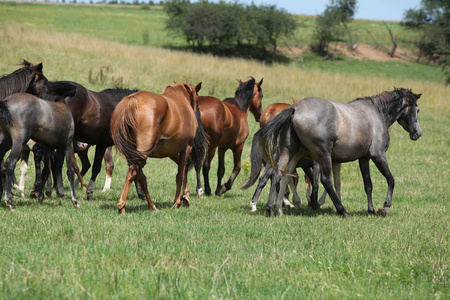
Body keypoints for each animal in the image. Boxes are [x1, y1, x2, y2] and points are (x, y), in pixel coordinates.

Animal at [111, 81, 207, 214]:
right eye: (197, 101)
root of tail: (131, 101)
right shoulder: (187, 146)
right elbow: (181, 174)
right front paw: (178, 201)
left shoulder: (171, 151)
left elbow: (184, 168)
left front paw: (184, 196)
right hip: (141, 153)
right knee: (132, 173)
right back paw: (122, 206)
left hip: (133, 153)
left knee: (141, 178)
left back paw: (152, 206)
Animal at [244, 88, 420, 217]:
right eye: (417, 110)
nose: (418, 133)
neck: (377, 113)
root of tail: (294, 108)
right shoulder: (378, 155)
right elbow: (391, 179)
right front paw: (384, 207)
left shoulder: (363, 158)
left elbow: (368, 185)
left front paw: (370, 210)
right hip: (323, 155)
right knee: (325, 180)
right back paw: (342, 211)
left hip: (289, 152)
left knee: (277, 175)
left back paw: (271, 209)